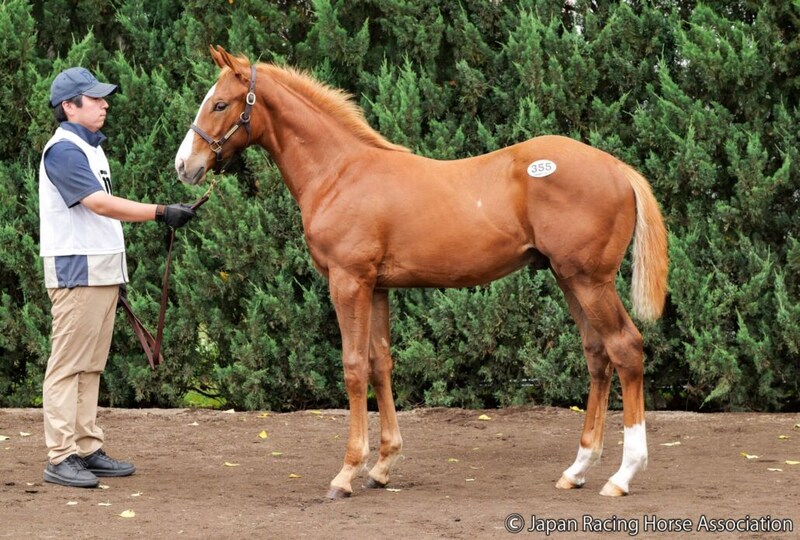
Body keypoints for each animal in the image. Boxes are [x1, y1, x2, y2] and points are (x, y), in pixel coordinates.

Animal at [174, 46, 668, 499]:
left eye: (220, 104)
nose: (184, 166)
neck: (340, 172)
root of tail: (617, 168)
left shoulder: (348, 282)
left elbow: (353, 367)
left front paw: (347, 473)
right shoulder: (376, 287)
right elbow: (380, 365)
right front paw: (382, 467)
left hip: (589, 281)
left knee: (625, 349)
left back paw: (623, 476)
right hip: (570, 279)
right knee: (597, 355)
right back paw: (578, 468)